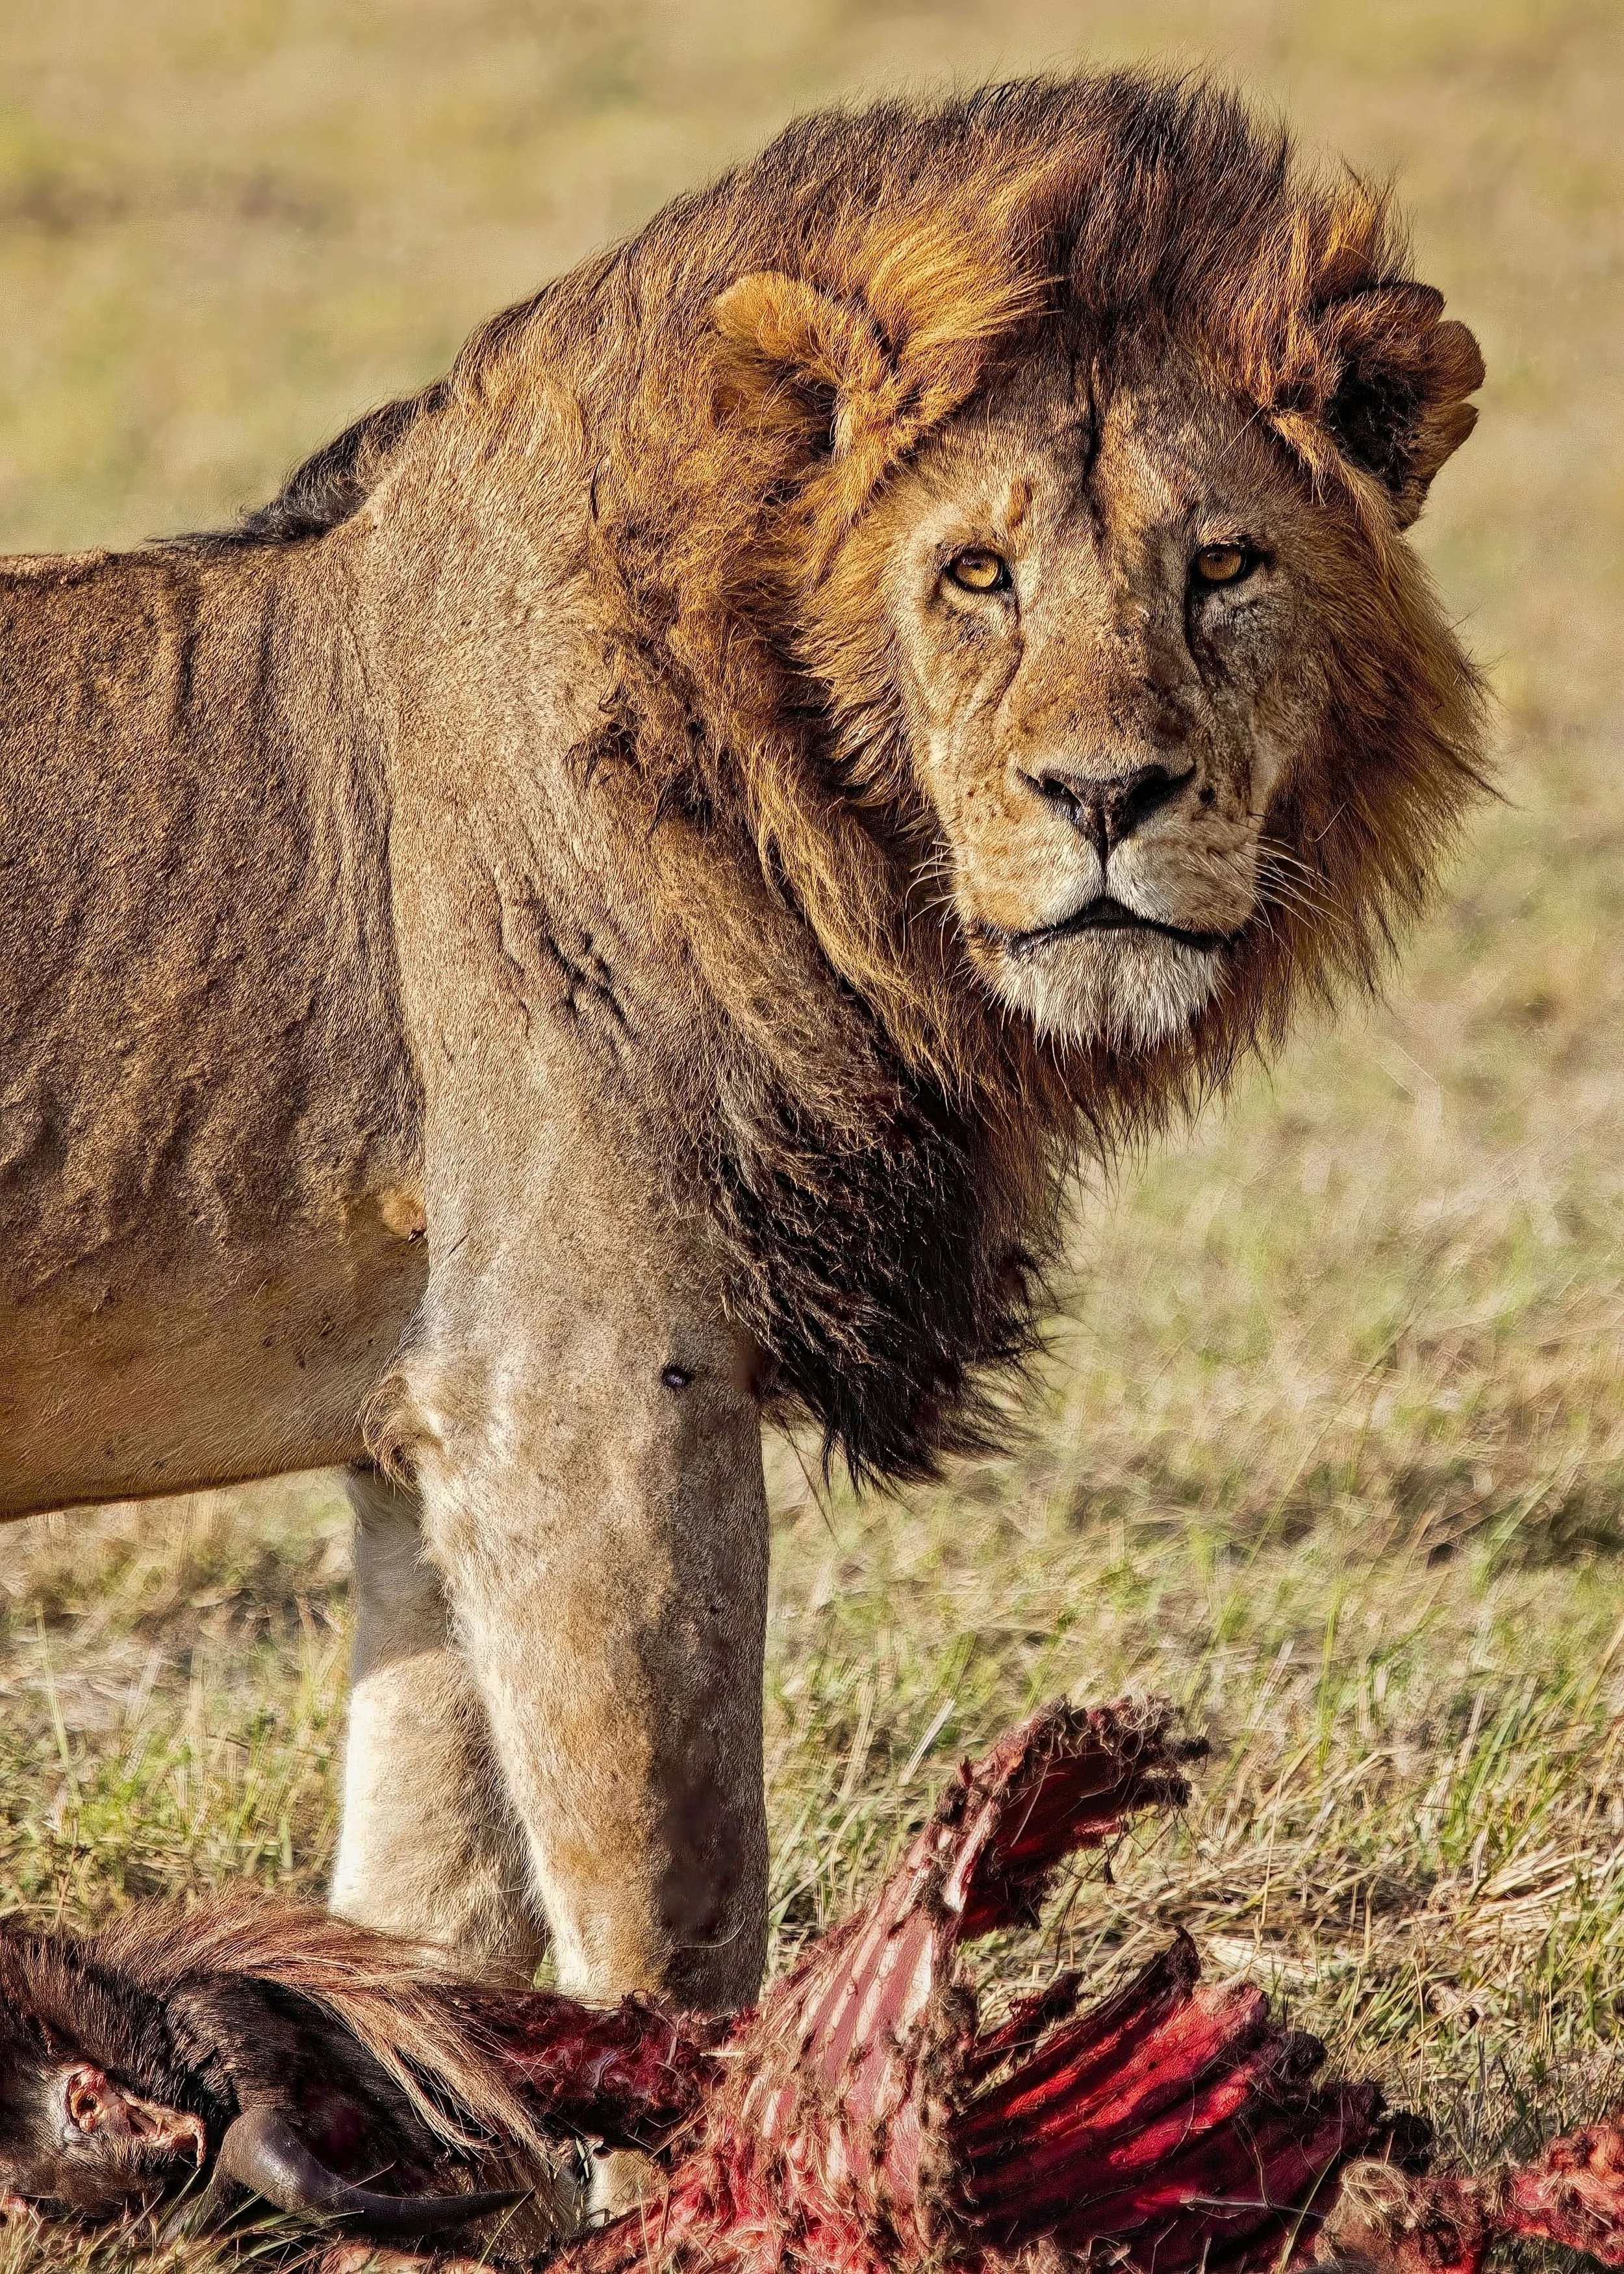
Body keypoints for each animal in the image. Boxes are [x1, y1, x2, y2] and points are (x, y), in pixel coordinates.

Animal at [0, 72, 1485, 2015]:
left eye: (1223, 566)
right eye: (977, 574)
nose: (1105, 795)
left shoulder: (431, 1418)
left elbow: (430, 1903)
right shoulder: (580, 1386)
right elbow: (673, 1911)